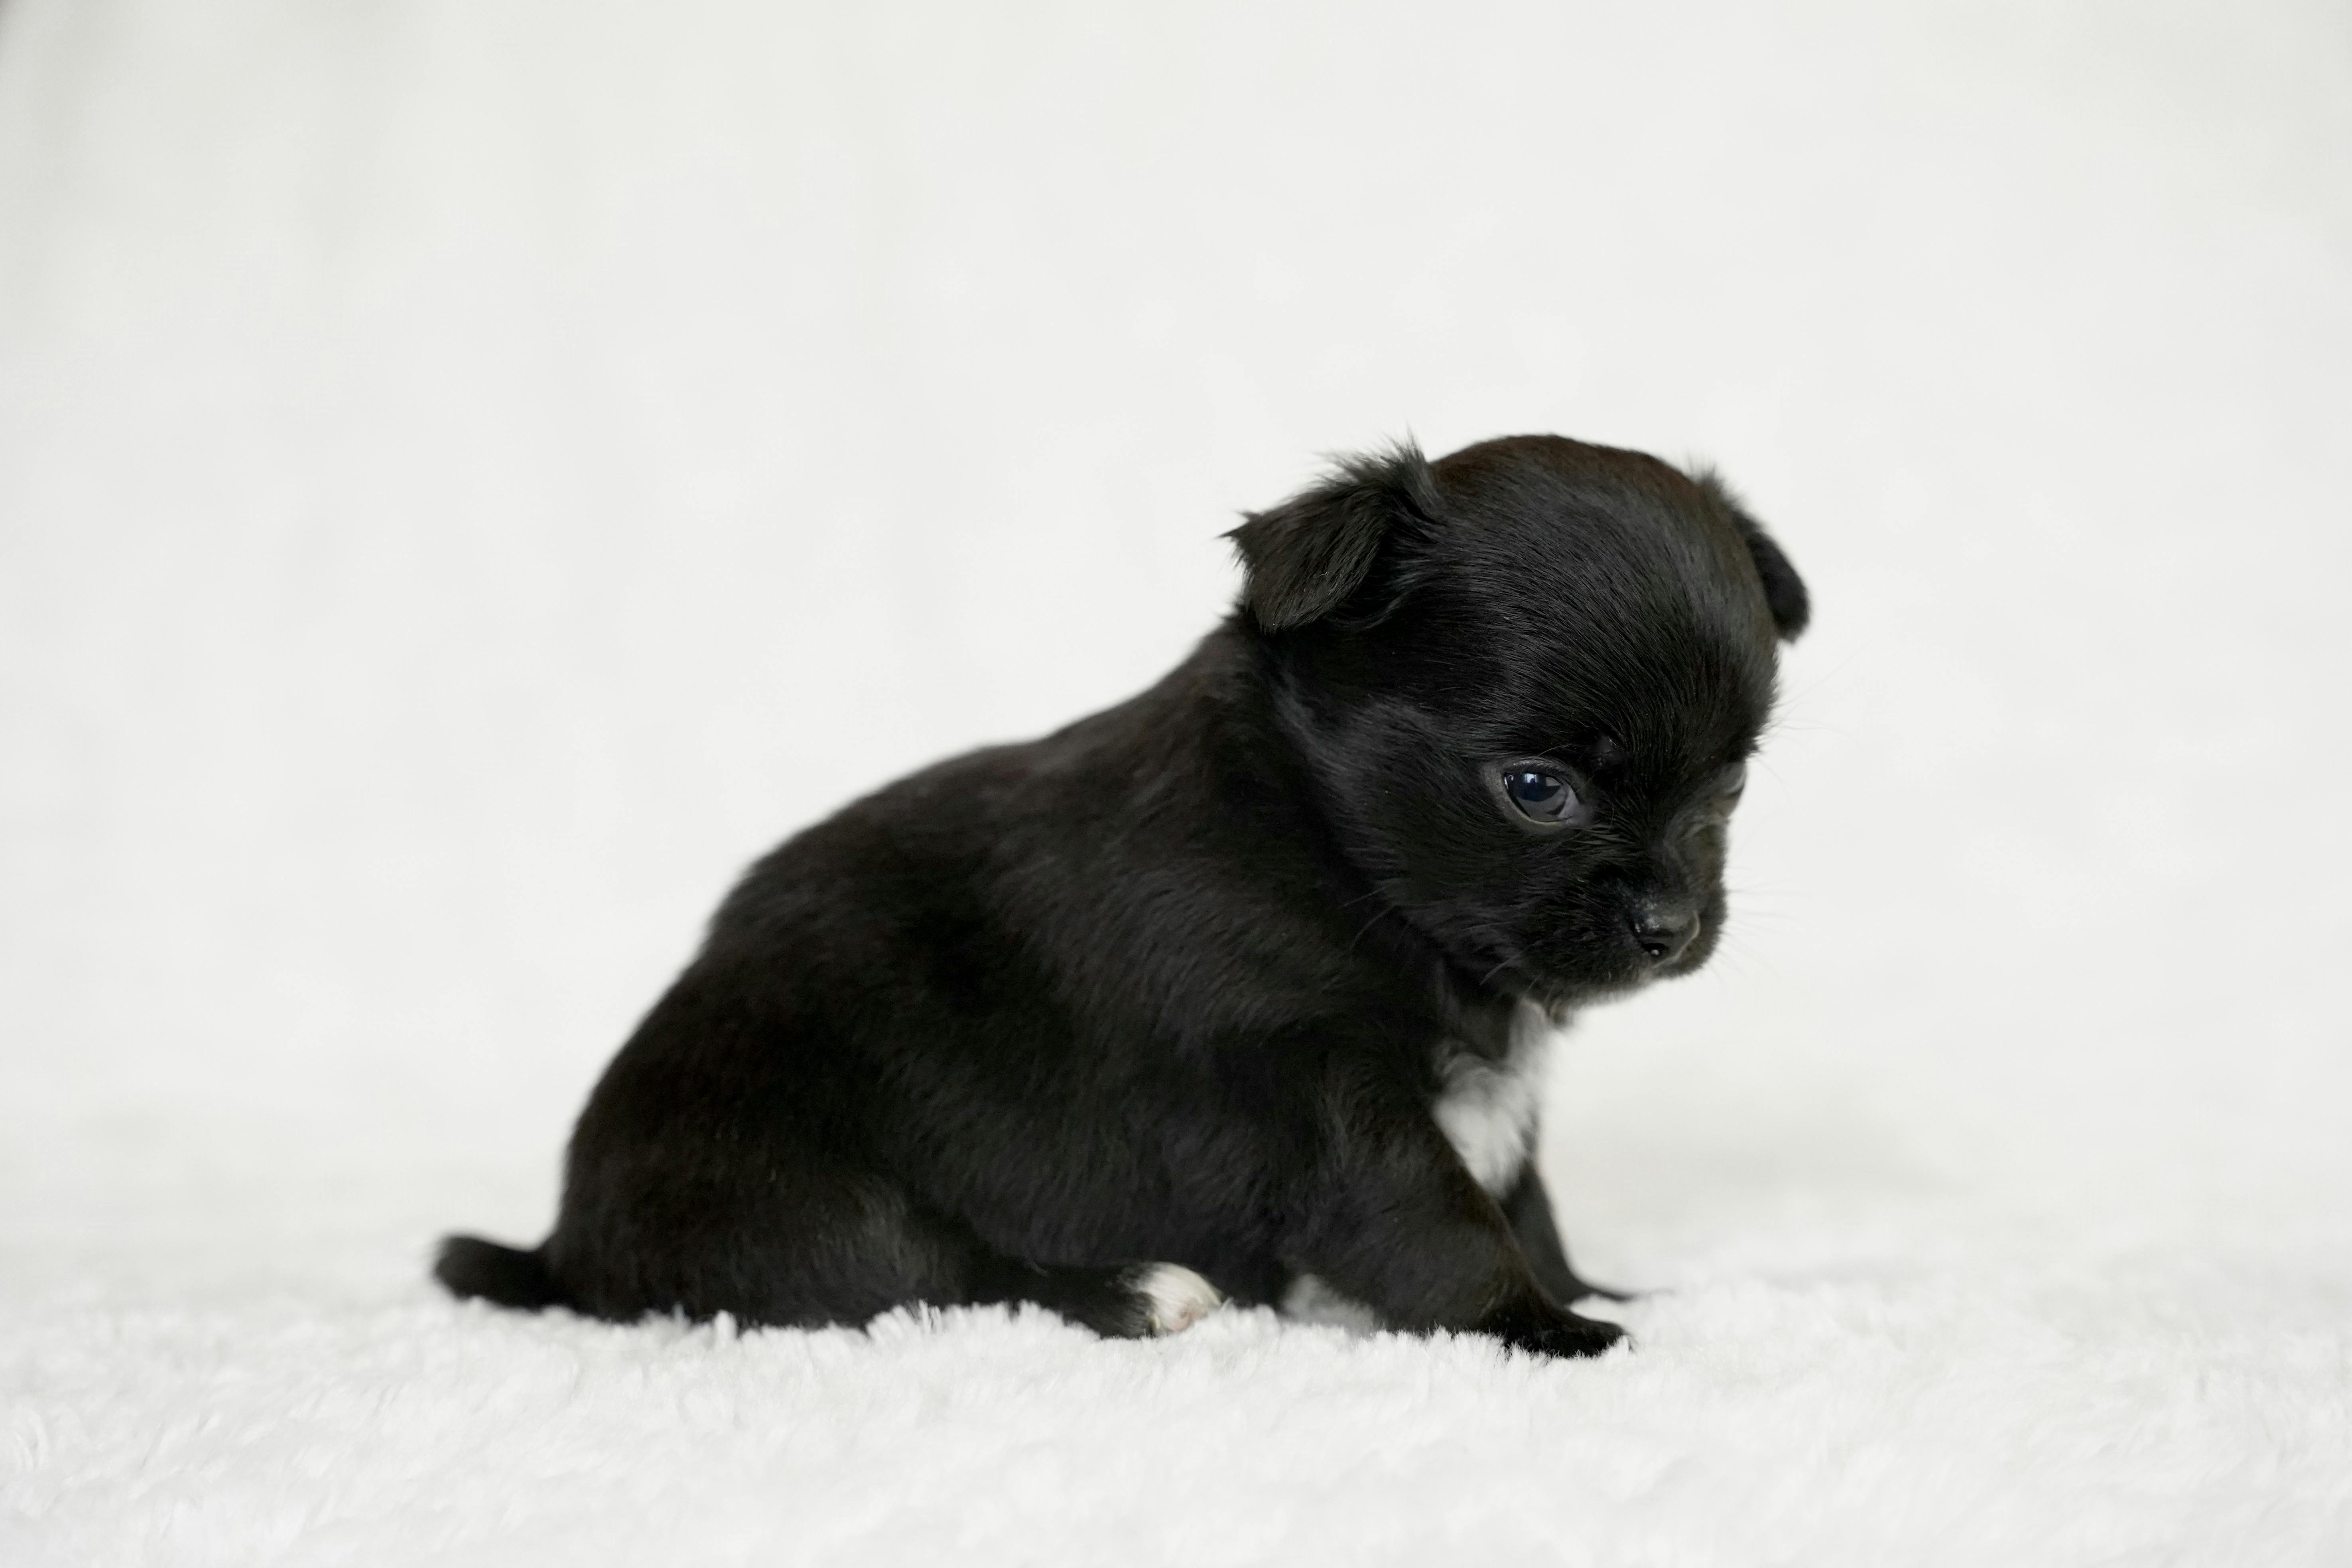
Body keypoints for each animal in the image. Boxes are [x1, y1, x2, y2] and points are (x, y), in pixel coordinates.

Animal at [437, 435, 1797, 1354]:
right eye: (1535, 789)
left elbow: (1525, 1195)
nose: (1672, 927)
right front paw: (1544, 1329)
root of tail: (567, 1242)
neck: (1324, 840)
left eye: (1730, 786)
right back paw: (1139, 1288)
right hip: (796, 1188)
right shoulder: (1314, 1084)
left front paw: (1589, 1289)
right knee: (923, 1273)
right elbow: (1440, 1214)